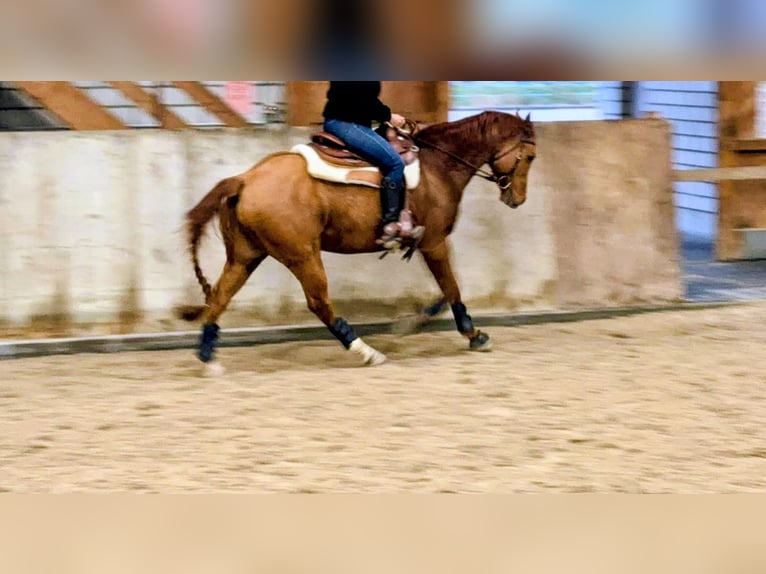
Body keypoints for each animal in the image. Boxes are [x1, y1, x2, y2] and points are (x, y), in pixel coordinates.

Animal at [177, 110, 537, 375]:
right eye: (531, 156)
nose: (517, 199)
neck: (438, 167)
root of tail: (245, 179)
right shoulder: (434, 242)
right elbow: (452, 288)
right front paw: (474, 335)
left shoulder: (428, 244)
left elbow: (445, 290)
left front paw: (413, 322)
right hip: (302, 254)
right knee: (319, 303)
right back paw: (367, 352)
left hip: (246, 255)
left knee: (219, 297)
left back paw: (209, 360)